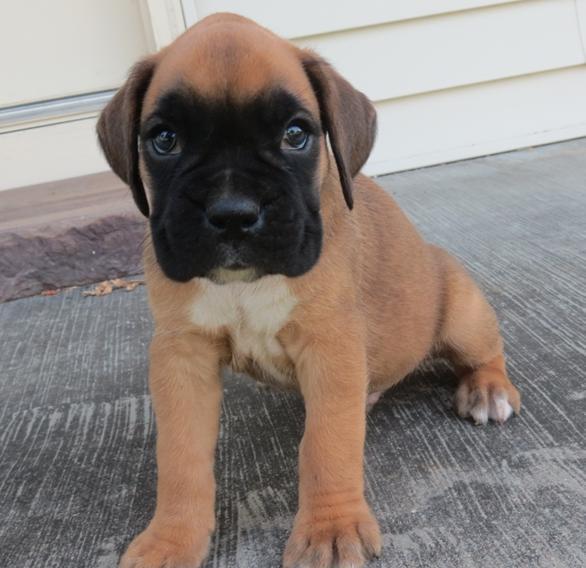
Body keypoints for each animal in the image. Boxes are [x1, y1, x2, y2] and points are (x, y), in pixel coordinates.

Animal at [97, 13, 520, 568]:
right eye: (164, 140)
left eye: (296, 135)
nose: (233, 213)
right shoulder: (181, 356)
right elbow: (180, 454)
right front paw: (172, 539)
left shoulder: (330, 345)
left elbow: (326, 444)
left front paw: (330, 529)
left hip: (461, 311)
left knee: (485, 352)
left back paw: (488, 389)